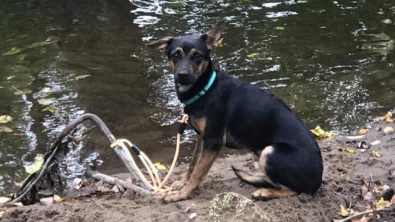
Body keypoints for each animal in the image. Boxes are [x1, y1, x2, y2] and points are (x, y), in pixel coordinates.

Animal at [147, 21, 324, 203]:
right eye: (175, 55)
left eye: (197, 56)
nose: (183, 75)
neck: (205, 88)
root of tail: (317, 181)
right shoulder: (201, 137)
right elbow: (192, 163)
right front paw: (182, 184)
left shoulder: (214, 141)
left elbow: (198, 173)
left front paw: (181, 194)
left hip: (269, 152)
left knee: (295, 190)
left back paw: (264, 192)